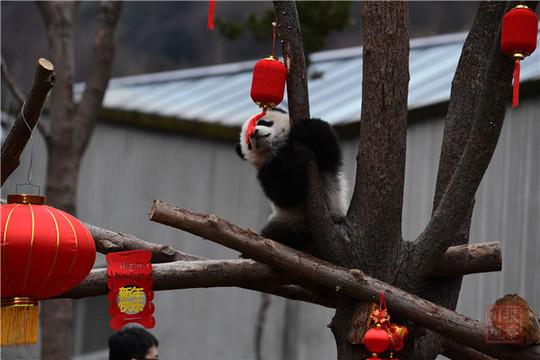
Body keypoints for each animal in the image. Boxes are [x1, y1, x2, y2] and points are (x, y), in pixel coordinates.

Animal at [235, 108, 346, 252]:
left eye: (263, 122)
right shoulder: (267, 171)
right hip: (286, 220)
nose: (254, 133)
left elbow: (328, 151)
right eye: (248, 143)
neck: (281, 149)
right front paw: (298, 158)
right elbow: (287, 191)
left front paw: (304, 128)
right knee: (276, 233)